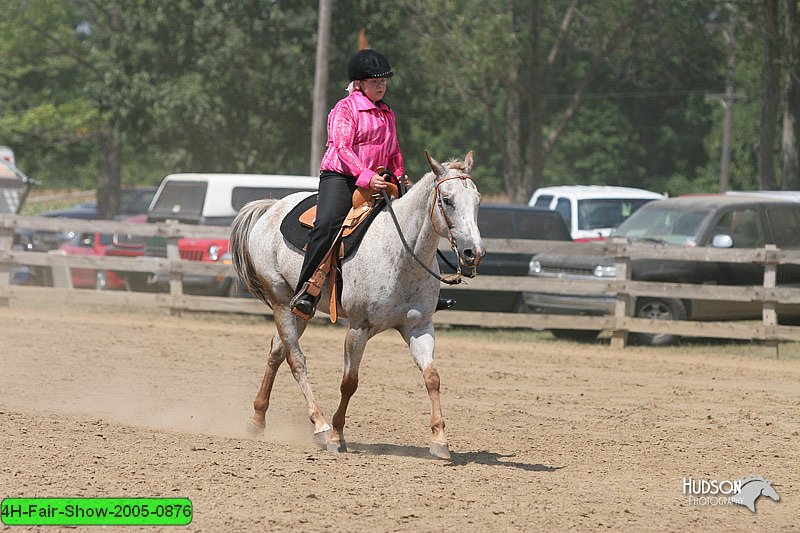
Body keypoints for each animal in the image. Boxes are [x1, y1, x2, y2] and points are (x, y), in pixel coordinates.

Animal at [228, 151, 484, 458]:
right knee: (296, 360)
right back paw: (321, 426)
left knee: (277, 353)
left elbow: (432, 377)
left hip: (296, 311)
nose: (473, 252)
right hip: (280, 301)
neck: (399, 253)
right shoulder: (358, 328)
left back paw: (257, 419)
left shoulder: (419, 327)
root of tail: (270, 208)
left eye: (478, 200)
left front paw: (440, 440)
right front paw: (337, 436)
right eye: (447, 199)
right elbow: (349, 382)